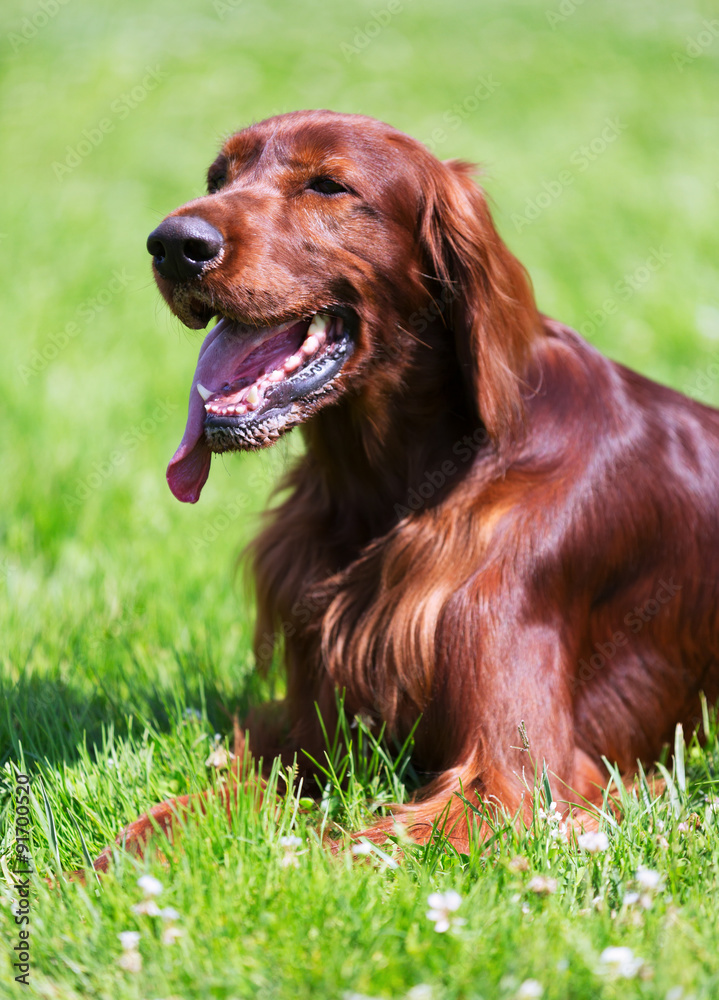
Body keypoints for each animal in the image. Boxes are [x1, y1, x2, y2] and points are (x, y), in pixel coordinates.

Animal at [91, 111, 719, 868]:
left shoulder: (513, 784)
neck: (393, 483)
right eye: (217, 178)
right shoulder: (313, 736)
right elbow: (180, 813)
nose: (174, 245)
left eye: (328, 185)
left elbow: (341, 850)